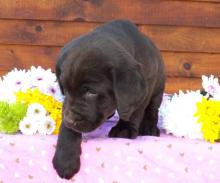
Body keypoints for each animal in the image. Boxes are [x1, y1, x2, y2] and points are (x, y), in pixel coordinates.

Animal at [52, 19, 165, 179]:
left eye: (91, 92)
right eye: (65, 89)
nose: (69, 120)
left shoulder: (144, 89)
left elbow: (133, 112)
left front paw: (124, 128)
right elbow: (67, 124)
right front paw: (65, 158)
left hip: (157, 88)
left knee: (152, 109)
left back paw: (149, 126)